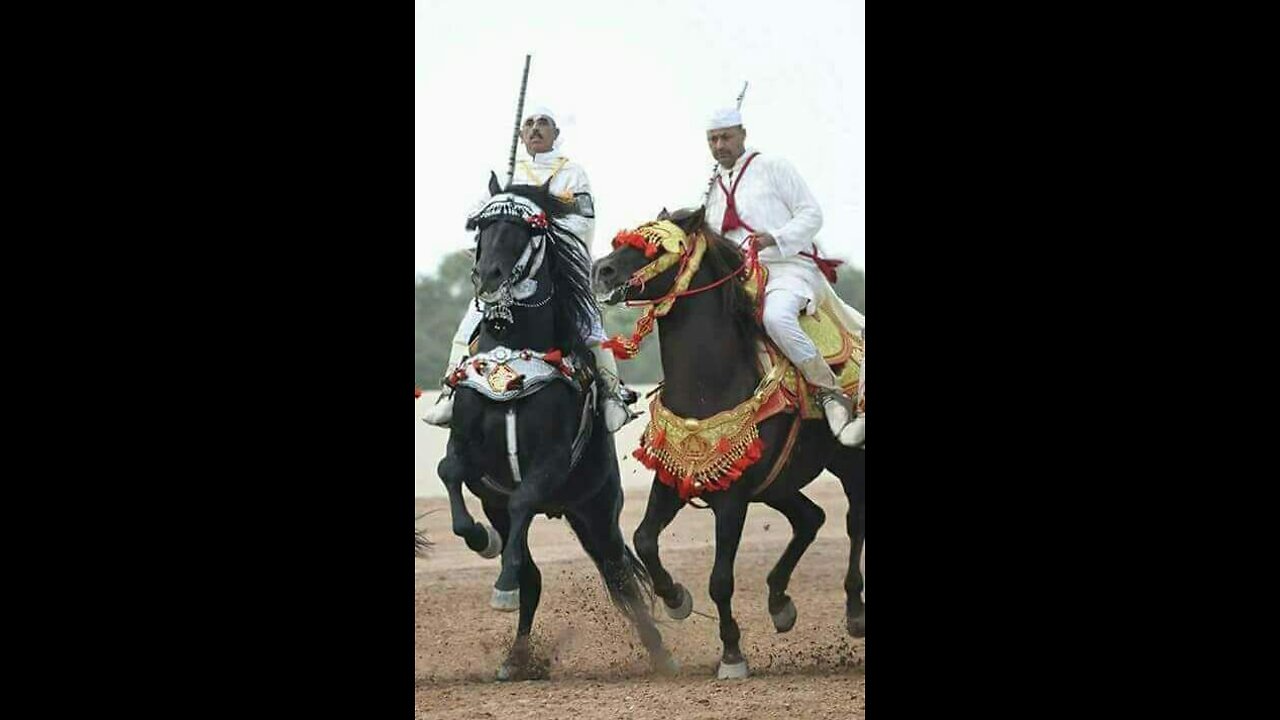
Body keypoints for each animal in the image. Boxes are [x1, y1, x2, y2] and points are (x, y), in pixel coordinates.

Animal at [432, 175, 670, 676]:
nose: (488, 276)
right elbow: (450, 472)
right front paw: (481, 540)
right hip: (521, 509)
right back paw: (516, 657)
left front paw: (500, 585)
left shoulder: (552, 461)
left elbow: (525, 497)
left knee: (618, 573)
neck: (516, 354)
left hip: (596, 511)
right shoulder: (468, 451)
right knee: (535, 576)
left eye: (528, 230)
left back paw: (661, 652)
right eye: (482, 225)